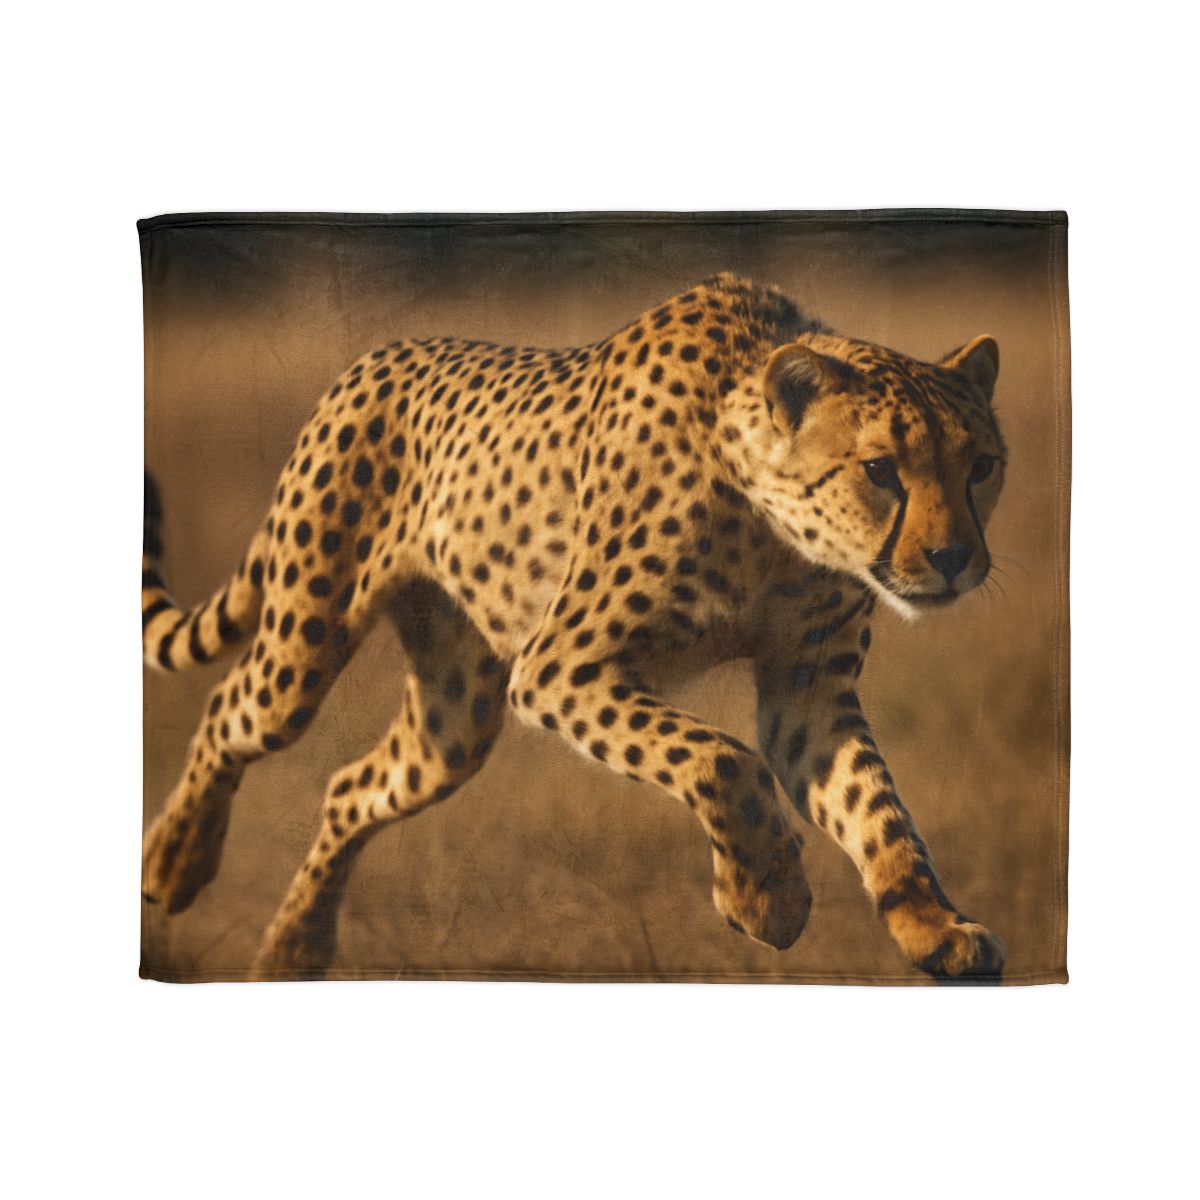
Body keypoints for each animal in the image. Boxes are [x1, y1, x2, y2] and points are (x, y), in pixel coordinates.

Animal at [142, 272, 1008, 982]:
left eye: (982, 466)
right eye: (881, 470)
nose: (954, 558)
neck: (773, 527)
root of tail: (377, 356)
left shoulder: (809, 692)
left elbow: (878, 809)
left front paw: (933, 926)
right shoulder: (561, 666)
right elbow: (723, 761)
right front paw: (767, 898)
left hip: (454, 720)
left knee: (353, 785)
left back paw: (293, 950)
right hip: (305, 642)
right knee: (229, 712)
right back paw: (175, 861)